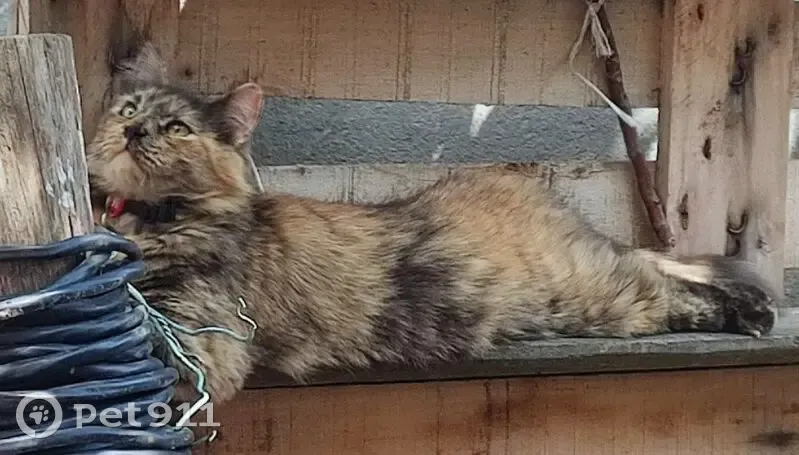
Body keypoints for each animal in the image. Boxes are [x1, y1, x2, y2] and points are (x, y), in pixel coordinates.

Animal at [86, 43, 778, 407]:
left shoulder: (202, 339)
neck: (147, 220)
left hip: (601, 295)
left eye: (179, 127)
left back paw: (756, 315)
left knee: (674, 285)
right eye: (129, 108)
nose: (134, 131)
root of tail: (520, 186)